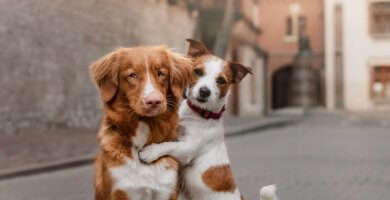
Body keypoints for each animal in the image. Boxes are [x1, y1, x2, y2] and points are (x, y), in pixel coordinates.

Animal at [140, 39, 253, 199]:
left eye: (221, 80)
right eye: (198, 72)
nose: (204, 91)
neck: (198, 114)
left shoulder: (188, 148)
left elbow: (169, 145)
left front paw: (150, 152)